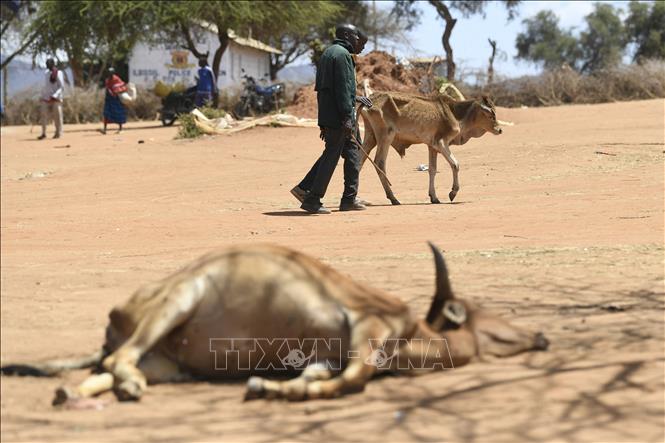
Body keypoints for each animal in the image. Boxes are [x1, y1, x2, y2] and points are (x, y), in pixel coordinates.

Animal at [2, 245, 548, 408]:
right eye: (480, 312)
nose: (541, 335)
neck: (415, 332)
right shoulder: (366, 330)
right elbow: (350, 382)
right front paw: (273, 390)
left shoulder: (328, 353)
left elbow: (319, 375)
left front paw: (272, 386)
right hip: (178, 301)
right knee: (119, 359)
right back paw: (125, 389)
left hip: (168, 363)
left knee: (106, 369)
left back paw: (72, 394)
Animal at [360, 93, 500, 206]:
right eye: (491, 114)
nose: (499, 130)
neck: (454, 112)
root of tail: (370, 99)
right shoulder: (441, 143)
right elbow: (455, 164)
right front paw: (453, 192)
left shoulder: (431, 146)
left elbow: (432, 170)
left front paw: (434, 197)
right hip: (386, 137)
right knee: (379, 163)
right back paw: (393, 198)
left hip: (371, 137)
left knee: (360, 160)